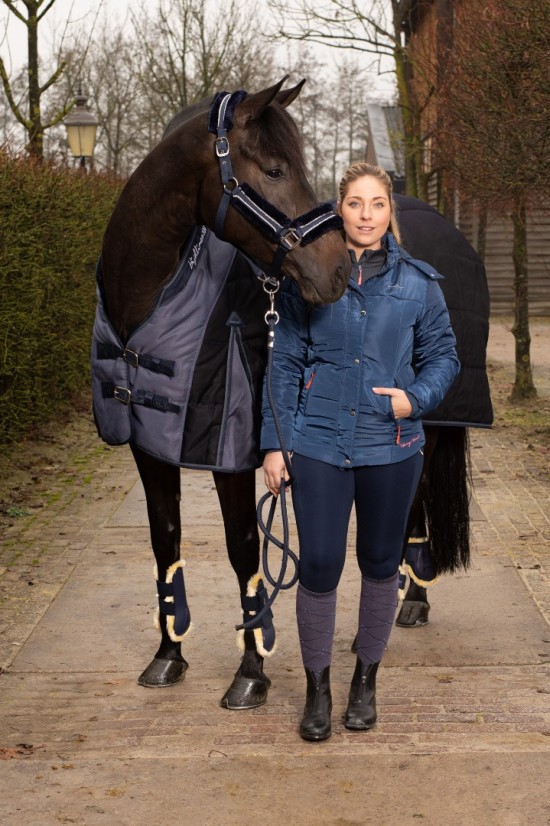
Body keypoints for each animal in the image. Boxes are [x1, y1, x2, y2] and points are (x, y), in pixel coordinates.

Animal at [93, 78, 350, 708]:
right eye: (276, 169)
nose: (336, 268)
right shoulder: (148, 443)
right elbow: (165, 540)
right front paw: (168, 654)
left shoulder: (230, 453)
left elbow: (242, 548)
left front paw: (252, 669)